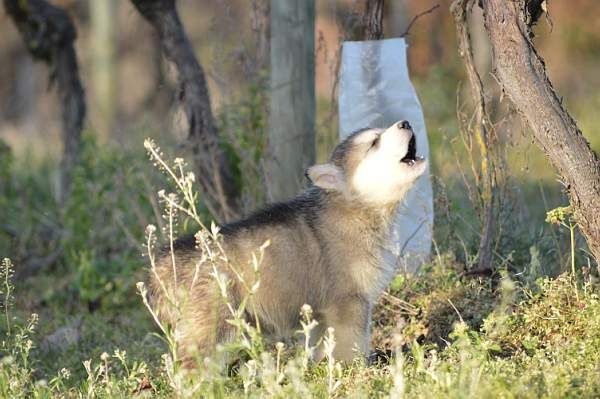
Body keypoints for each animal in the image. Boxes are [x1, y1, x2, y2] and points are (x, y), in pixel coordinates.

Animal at [149, 121, 426, 366]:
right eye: (374, 143)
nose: (405, 122)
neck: (357, 207)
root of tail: (161, 265)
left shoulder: (321, 312)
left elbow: (320, 345)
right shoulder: (349, 301)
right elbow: (352, 345)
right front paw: (356, 371)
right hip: (210, 327)